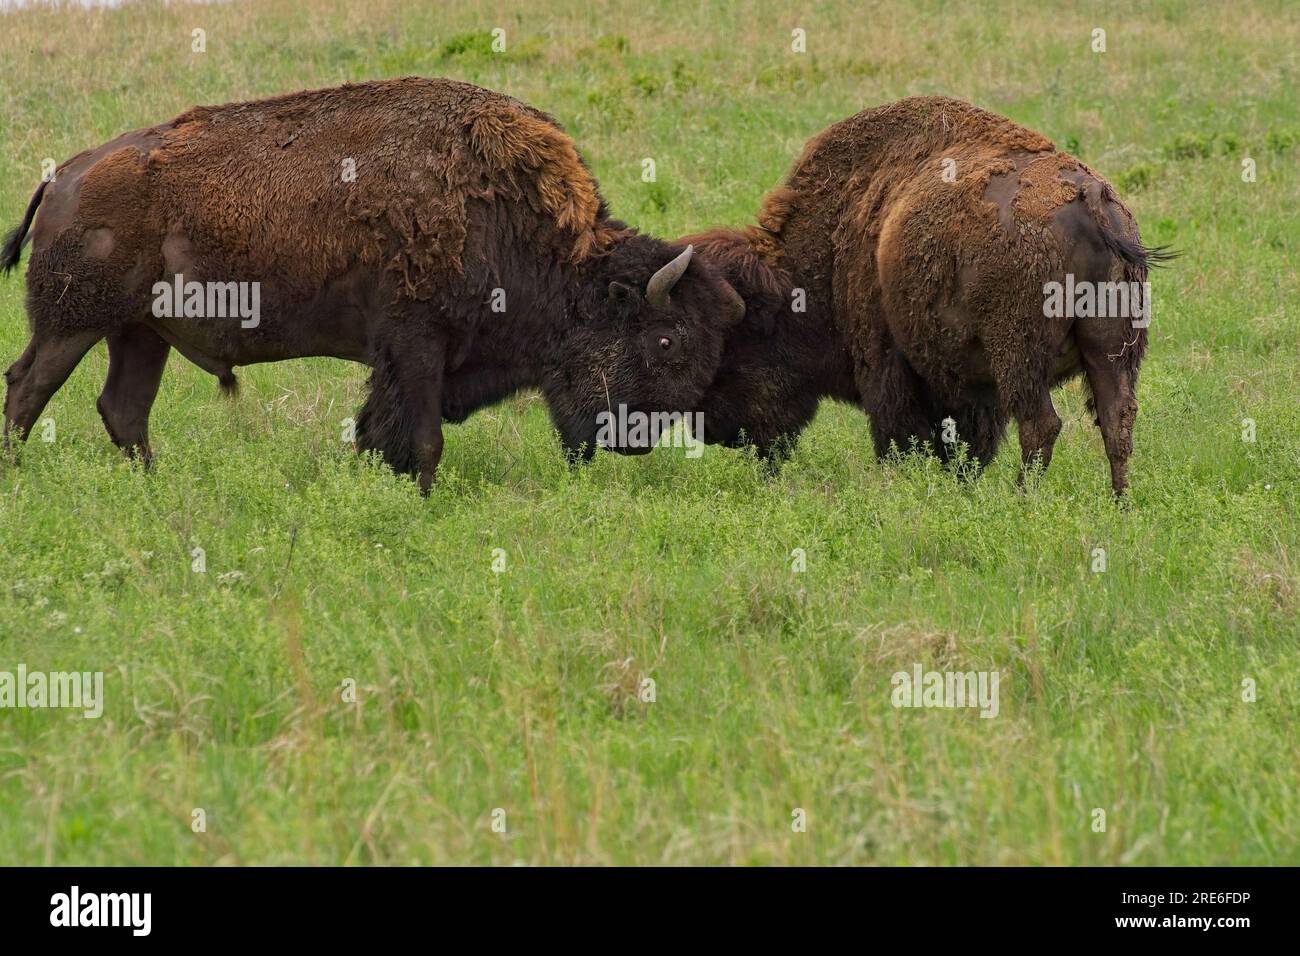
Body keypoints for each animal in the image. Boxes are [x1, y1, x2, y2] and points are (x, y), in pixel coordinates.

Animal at [2, 76, 744, 492]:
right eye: (667, 340)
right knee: (29, 389)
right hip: (73, 325)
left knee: (123, 410)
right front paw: (422, 501)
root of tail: (65, 175)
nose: (636, 439)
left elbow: (379, 434)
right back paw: (19, 479)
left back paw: (154, 490)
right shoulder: (417, 345)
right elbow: (423, 438)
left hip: (139, 333)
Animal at [684, 96, 1170, 496]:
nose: (707, 430)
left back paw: (1022, 500)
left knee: (1041, 425)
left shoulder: (886, 365)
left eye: (735, 346)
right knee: (1117, 421)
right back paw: (1120, 505)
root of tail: (1090, 197)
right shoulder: (970, 383)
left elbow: (900, 436)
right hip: (1113, 350)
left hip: (1020, 354)